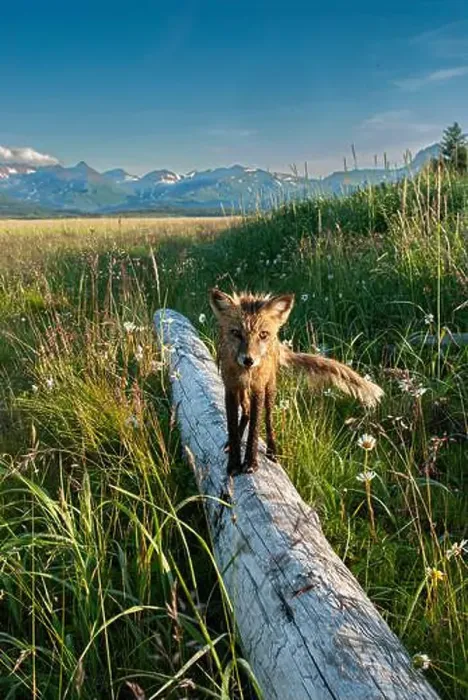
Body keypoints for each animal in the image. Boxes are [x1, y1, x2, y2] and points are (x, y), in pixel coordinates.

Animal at [209, 288, 384, 475]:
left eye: (263, 335)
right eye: (236, 333)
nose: (248, 360)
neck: (245, 373)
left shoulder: (258, 388)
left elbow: (255, 430)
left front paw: (250, 462)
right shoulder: (230, 388)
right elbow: (232, 428)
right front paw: (234, 463)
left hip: (270, 388)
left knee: (268, 419)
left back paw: (272, 450)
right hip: (243, 392)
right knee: (247, 412)